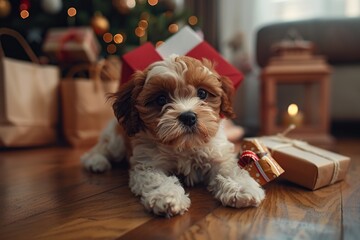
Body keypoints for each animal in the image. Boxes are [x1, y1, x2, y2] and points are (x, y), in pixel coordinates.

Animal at [81, 55, 264, 217]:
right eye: (161, 99)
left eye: (202, 93)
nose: (188, 117)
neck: (184, 145)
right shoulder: (148, 163)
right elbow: (157, 179)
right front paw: (166, 197)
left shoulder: (218, 154)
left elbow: (230, 169)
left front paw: (241, 188)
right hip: (117, 141)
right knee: (101, 148)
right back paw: (96, 162)